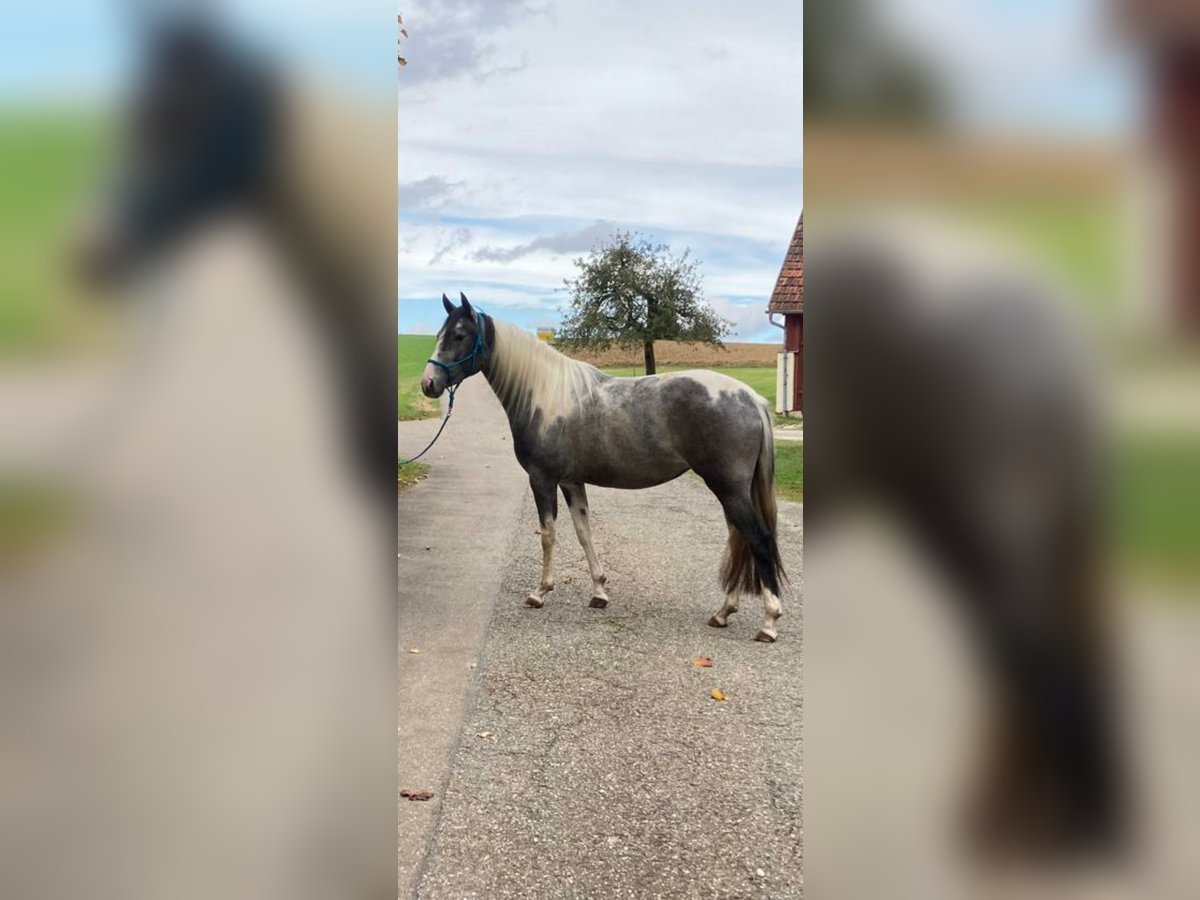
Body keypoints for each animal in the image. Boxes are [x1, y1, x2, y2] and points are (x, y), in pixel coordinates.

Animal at [422, 294, 787, 643]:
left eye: (459, 335)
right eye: (439, 334)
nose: (428, 383)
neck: (544, 396)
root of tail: (750, 398)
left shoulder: (542, 479)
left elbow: (548, 535)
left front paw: (540, 592)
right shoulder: (571, 482)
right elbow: (584, 533)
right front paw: (599, 592)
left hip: (728, 488)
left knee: (757, 539)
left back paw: (769, 622)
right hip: (730, 490)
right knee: (739, 540)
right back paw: (724, 612)